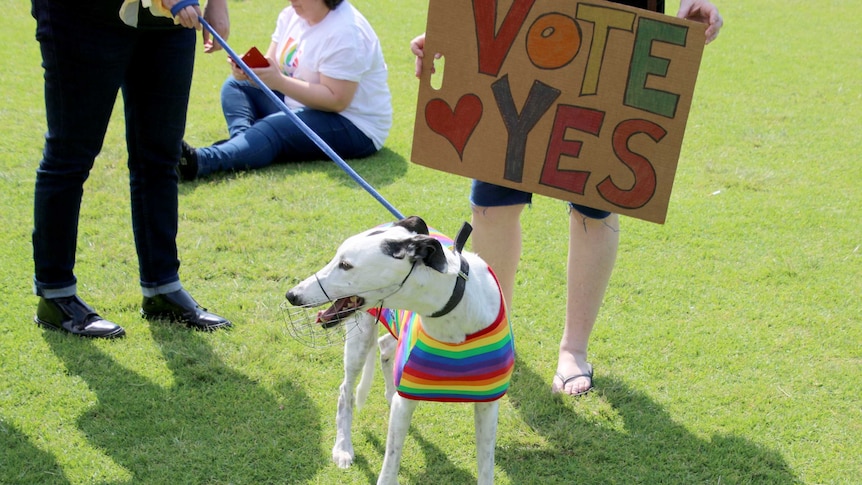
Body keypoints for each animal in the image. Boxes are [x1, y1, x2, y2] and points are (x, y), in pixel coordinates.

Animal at [286, 216, 512, 484]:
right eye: (337, 259)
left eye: (345, 264)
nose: (292, 295)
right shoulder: (405, 403)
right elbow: (389, 467)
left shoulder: (488, 404)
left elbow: (486, 466)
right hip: (359, 343)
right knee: (346, 391)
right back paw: (343, 447)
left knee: (384, 347)